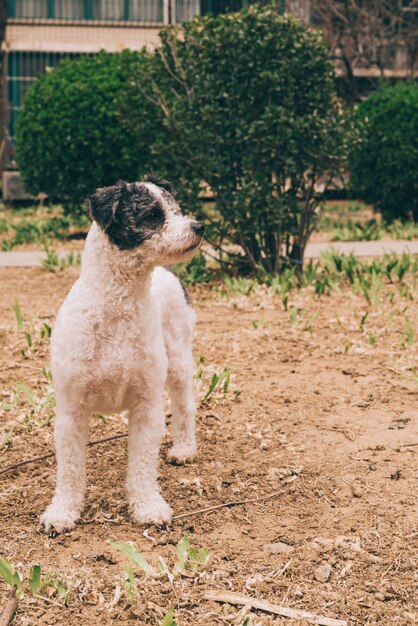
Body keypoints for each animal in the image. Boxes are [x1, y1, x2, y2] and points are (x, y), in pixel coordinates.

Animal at [41, 176, 205, 532]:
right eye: (153, 215)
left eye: (176, 209)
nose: (199, 226)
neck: (115, 311)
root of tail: (168, 272)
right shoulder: (71, 411)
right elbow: (70, 470)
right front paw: (62, 512)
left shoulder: (146, 405)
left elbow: (142, 466)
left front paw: (148, 507)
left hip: (178, 361)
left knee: (184, 406)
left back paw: (184, 448)